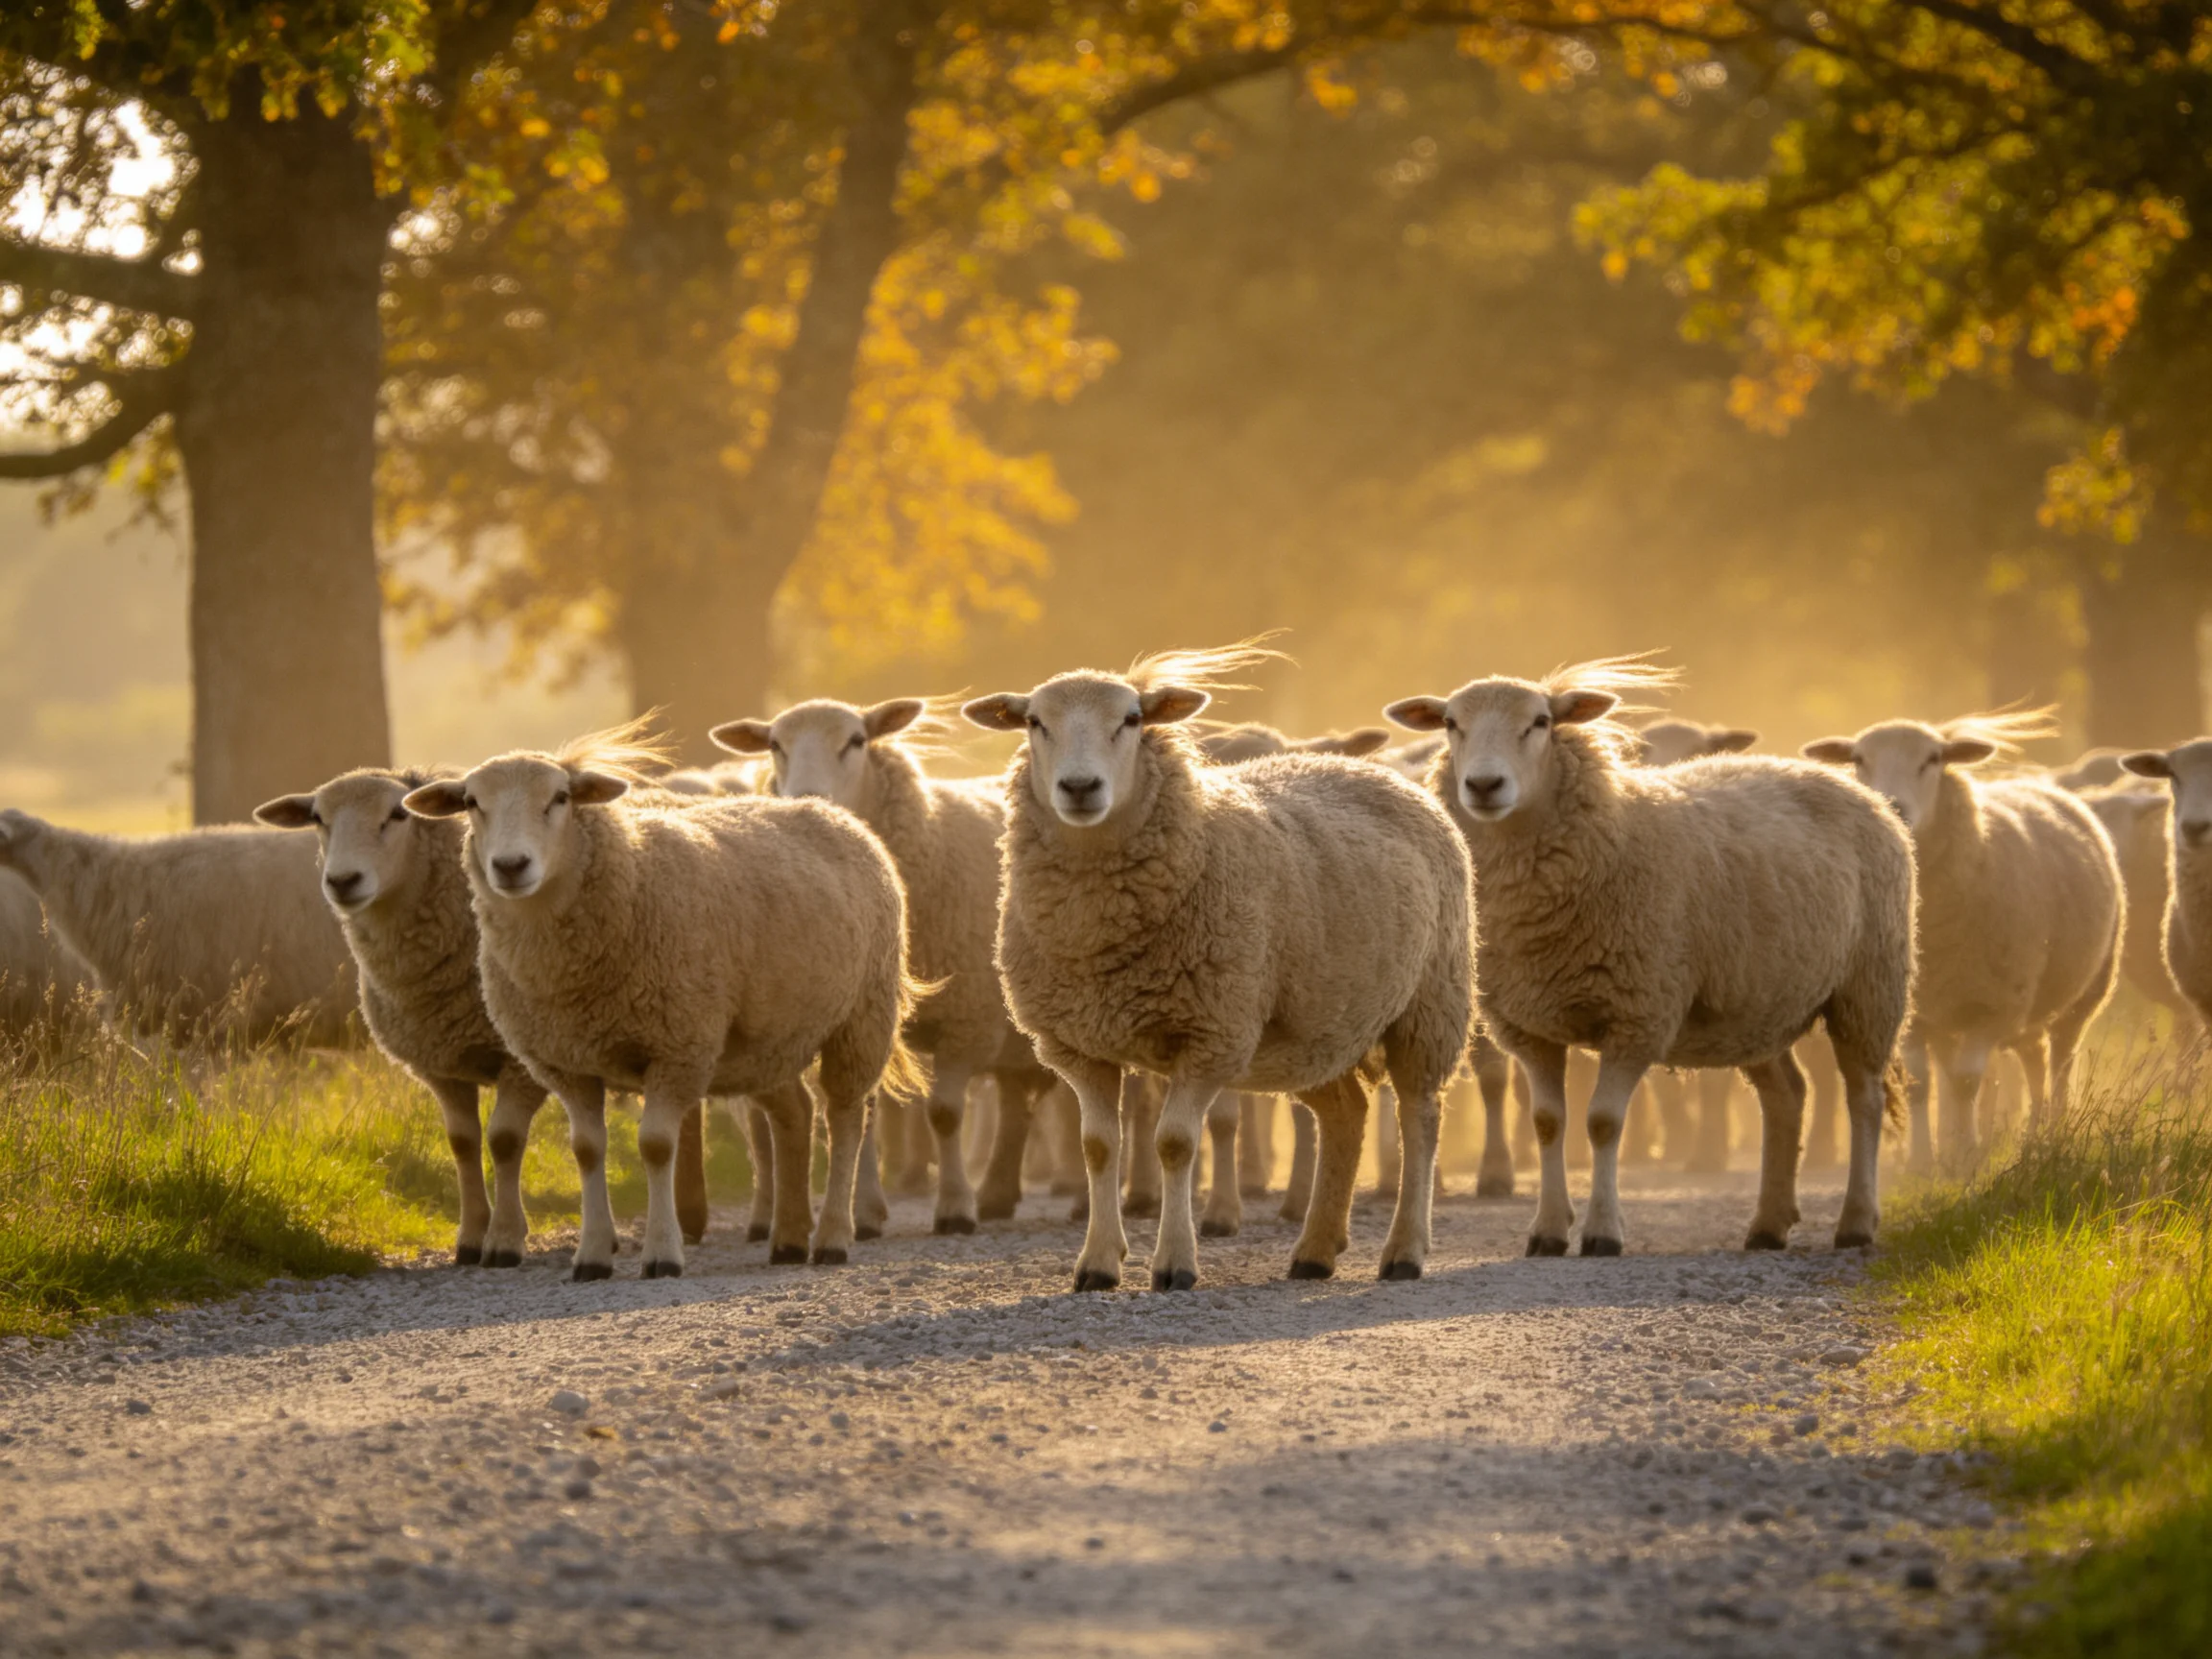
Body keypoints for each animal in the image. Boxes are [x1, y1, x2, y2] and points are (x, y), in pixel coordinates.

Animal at [403, 746, 918, 1279]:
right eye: (471, 803)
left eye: (560, 798)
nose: (510, 866)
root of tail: (832, 812)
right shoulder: (568, 1063)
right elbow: (587, 1150)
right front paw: (591, 1256)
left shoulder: (678, 1047)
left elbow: (655, 1145)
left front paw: (662, 1253)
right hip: (768, 1041)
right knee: (795, 1113)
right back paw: (789, 1239)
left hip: (862, 1018)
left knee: (846, 1120)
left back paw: (833, 1236)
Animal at [710, 698, 1058, 1232]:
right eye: (774, 745)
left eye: (856, 740)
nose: (809, 796)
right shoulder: (863, 1021)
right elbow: (864, 1113)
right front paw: (866, 1211)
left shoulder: (968, 1019)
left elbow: (944, 1113)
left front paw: (954, 1208)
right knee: (1017, 1098)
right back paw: (999, 1195)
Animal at [965, 643, 1475, 1290]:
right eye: (1035, 722)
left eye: (1132, 719)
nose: (1080, 787)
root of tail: (1374, 771)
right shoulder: (1078, 1045)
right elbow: (1098, 1147)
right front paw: (1098, 1264)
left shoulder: (1211, 1033)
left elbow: (1177, 1143)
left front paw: (1175, 1264)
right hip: (1315, 1029)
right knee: (1346, 1115)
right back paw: (1315, 1250)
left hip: (1429, 1004)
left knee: (1420, 1119)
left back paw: (1404, 1250)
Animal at [1388, 657, 1914, 1255]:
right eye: (1451, 724)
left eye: (1540, 722)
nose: (1483, 785)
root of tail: (1846, 783)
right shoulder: (1530, 1024)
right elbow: (1547, 1122)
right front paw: (1548, 1230)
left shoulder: (1637, 1013)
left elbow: (1602, 1123)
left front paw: (1602, 1232)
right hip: (1757, 1004)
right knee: (1786, 1096)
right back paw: (1768, 1224)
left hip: (1868, 986)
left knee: (1865, 1098)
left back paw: (1856, 1221)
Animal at [1804, 711, 2122, 1170]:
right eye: (1859, 759)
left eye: (1933, 759)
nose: (1894, 807)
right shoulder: (1916, 1013)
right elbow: (1921, 1085)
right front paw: (1924, 1160)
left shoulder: (1990, 1005)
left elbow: (1969, 1082)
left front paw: (1968, 1157)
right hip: (1983, 1008)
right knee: (2031, 1059)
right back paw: (2019, 1137)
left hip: (2083, 996)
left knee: (2060, 1063)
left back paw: (2054, 1132)